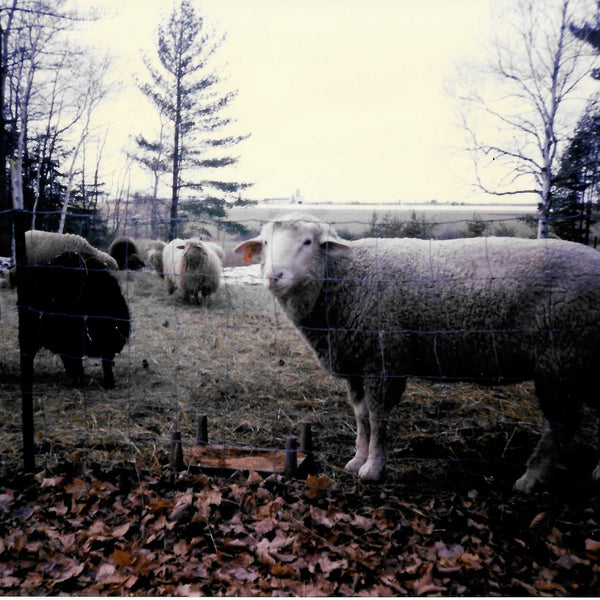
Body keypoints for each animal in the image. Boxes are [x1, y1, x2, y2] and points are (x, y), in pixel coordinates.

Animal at [236, 212, 600, 492]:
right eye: (264, 243)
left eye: (308, 243)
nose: (274, 276)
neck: (343, 279)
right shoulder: (357, 361)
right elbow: (361, 415)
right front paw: (357, 459)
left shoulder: (384, 358)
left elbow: (378, 417)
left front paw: (373, 468)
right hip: (581, 361)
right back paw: (595, 472)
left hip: (560, 359)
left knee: (562, 425)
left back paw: (530, 479)